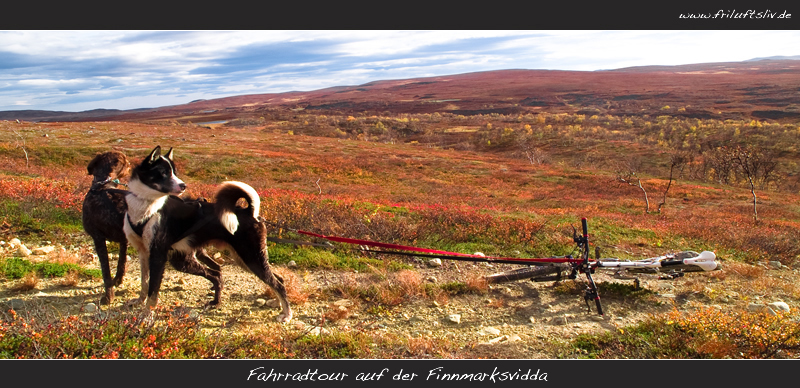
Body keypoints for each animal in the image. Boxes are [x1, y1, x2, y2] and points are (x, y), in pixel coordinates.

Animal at [122, 146, 290, 322]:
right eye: (163, 172)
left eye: (174, 172)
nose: (184, 186)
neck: (148, 204)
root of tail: (249, 212)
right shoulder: (143, 252)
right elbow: (144, 283)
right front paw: (139, 301)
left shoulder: (158, 255)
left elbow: (153, 291)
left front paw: (146, 315)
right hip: (243, 259)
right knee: (276, 278)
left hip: (251, 257)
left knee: (277, 283)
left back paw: (286, 314)